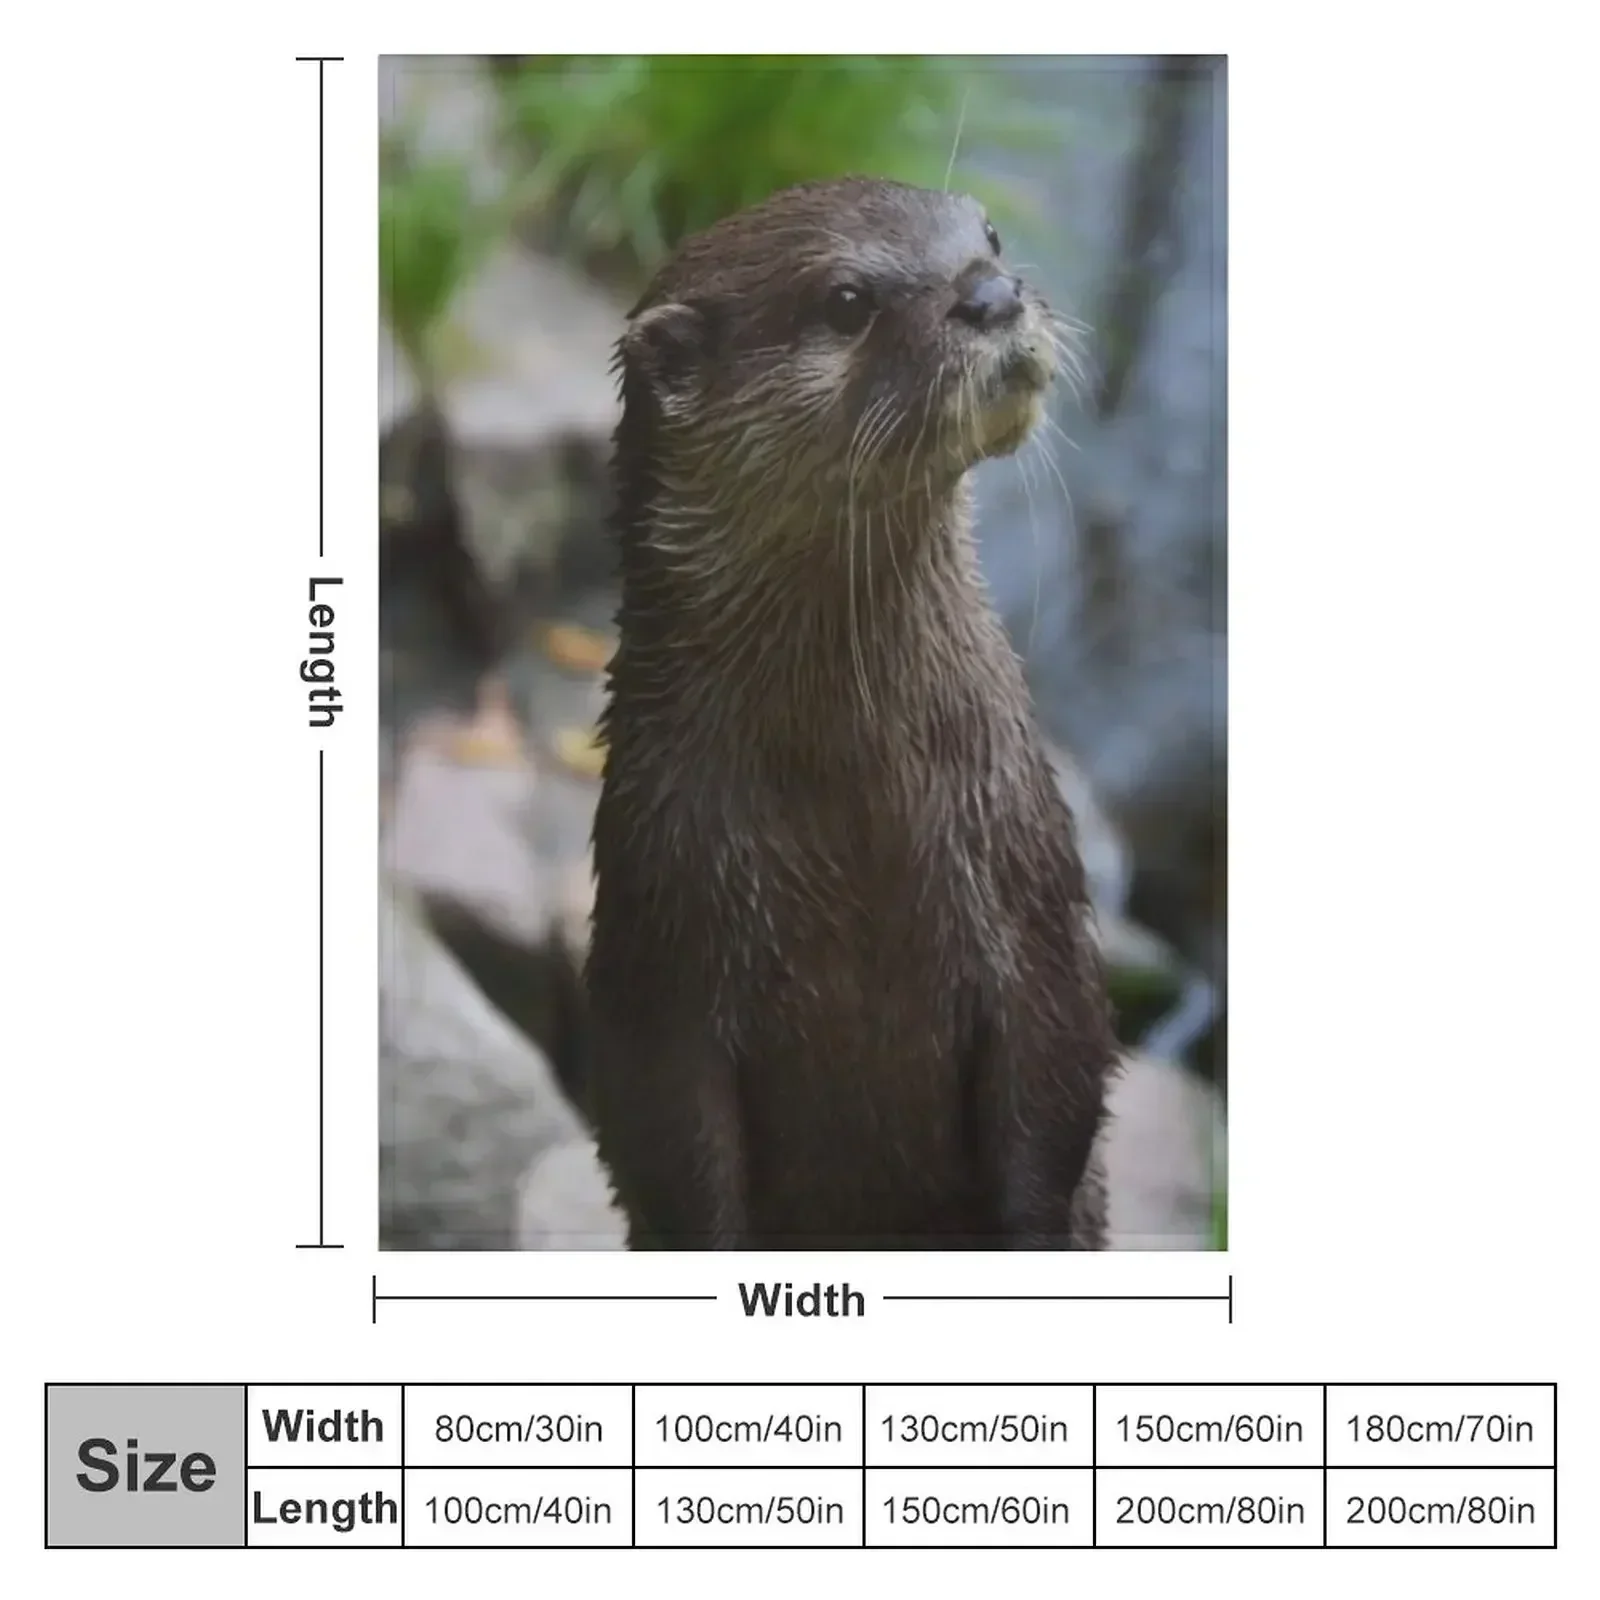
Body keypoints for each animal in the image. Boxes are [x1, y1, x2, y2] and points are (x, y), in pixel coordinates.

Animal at [586, 176, 1117, 1249]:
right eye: (845, 301)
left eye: (987, 234)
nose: (992, 294)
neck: (862, 813)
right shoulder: (657, 961)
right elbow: (677, 1174)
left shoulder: (1036, 912)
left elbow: (1055, 1107)